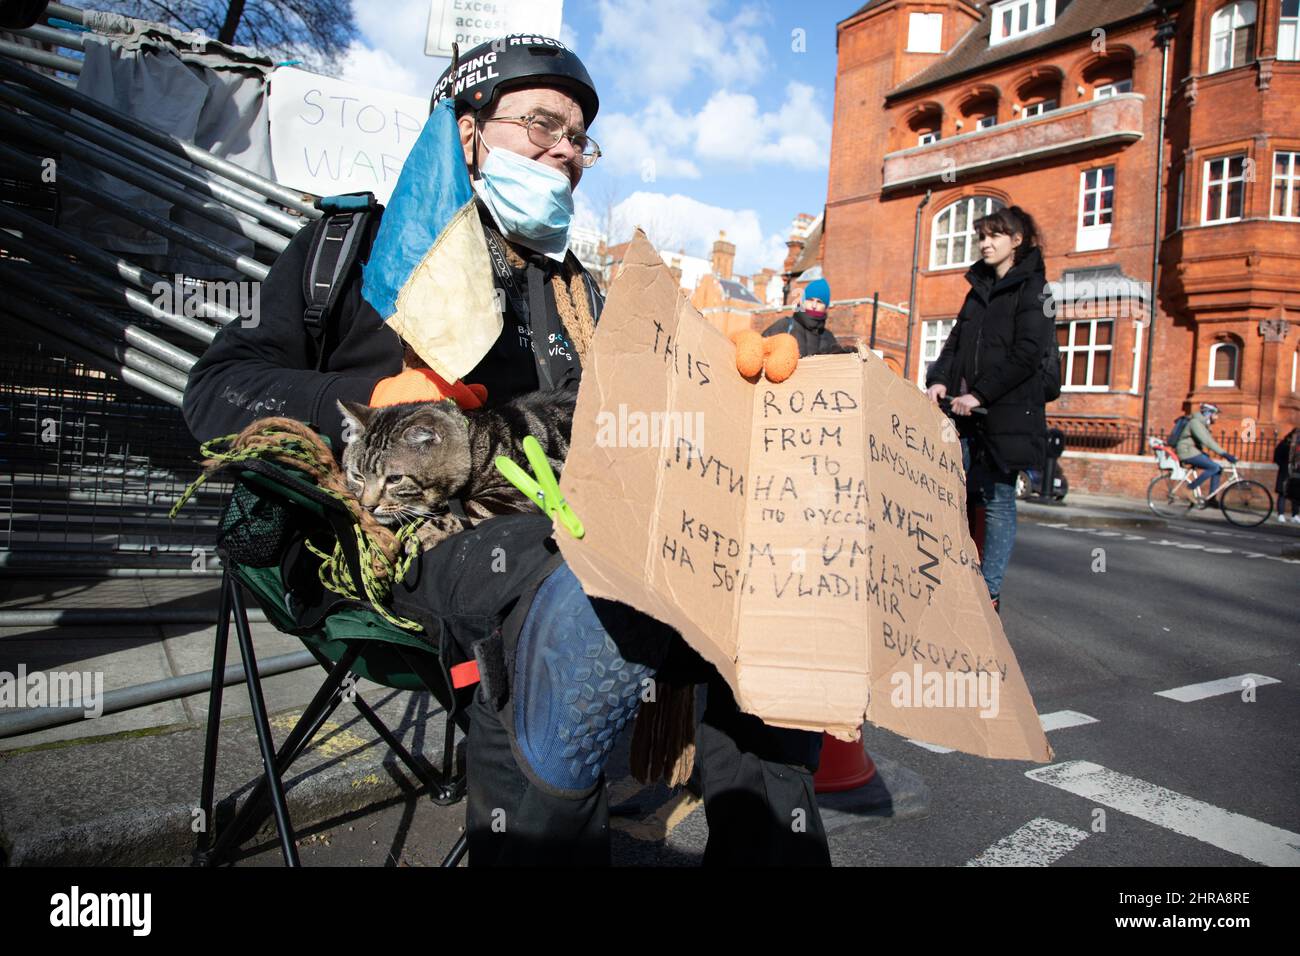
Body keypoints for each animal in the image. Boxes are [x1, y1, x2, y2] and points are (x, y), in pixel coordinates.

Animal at [338, 387, 577, 538]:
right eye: (357, 476)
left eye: (395, 479)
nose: (368, 506)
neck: (473, 446)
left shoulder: (518, 492)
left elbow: (467, 511)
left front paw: (424, 535)